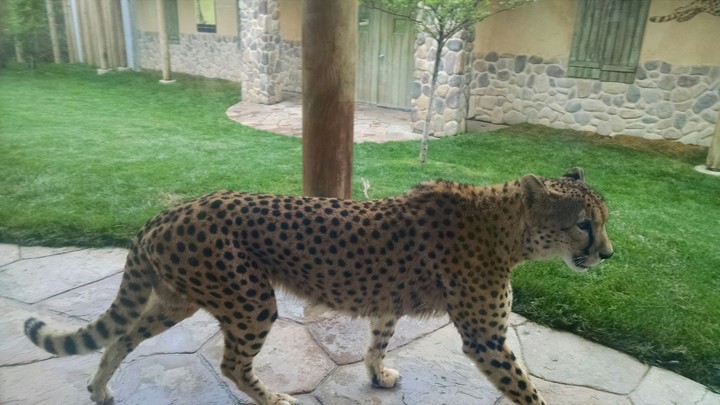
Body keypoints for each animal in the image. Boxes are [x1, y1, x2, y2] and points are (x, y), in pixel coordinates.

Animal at [24, 167, 613, 405]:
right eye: (584, 224)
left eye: (602, 221)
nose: (607, 254)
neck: (505, 227)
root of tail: (172, 211)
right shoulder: (487, 337)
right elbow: (525, 388)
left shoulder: (387, 301)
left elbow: (377, 341)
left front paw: (376, 376)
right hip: (250, 299)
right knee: (231, 363)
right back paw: (272, 398)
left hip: (178, 298)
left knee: (121, 337)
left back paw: (99, 389)